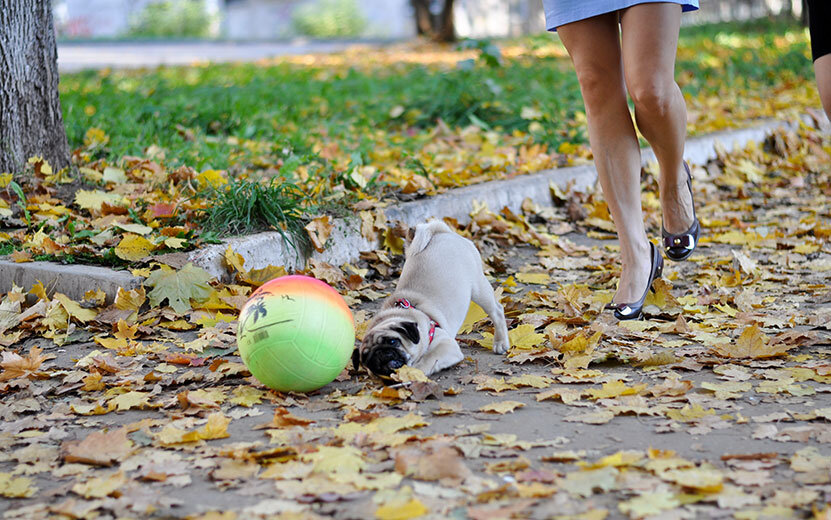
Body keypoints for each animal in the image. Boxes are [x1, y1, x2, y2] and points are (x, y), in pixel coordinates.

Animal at [354, 220, 510, 378]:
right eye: (365, 358)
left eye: (392, 341)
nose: (379, 354)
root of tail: (441, 233)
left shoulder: (445, 344)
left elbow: (426, 361)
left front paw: (413, 372)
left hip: (479, 288)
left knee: (496, 310)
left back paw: (500, 343)